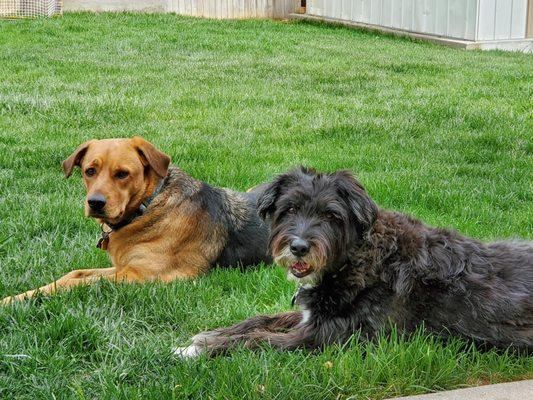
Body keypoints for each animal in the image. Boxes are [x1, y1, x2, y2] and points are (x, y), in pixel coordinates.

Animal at [2, 136, 270, 304]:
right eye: (90, 171)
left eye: (122, 174)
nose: (95, 203)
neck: (147, 207)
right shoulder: (123, 266)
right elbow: (74, 275)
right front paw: (16, 297)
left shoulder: (140, 275)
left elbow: (76, 283)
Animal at [176, 166, 532, 356]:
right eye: (289, 209)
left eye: (331, 216)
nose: (299, 247)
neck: (359, 260)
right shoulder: (313, 315)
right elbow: (260, 319)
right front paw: (209, 335)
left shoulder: (322, 337)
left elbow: (256, 339)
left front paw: (196, 350)